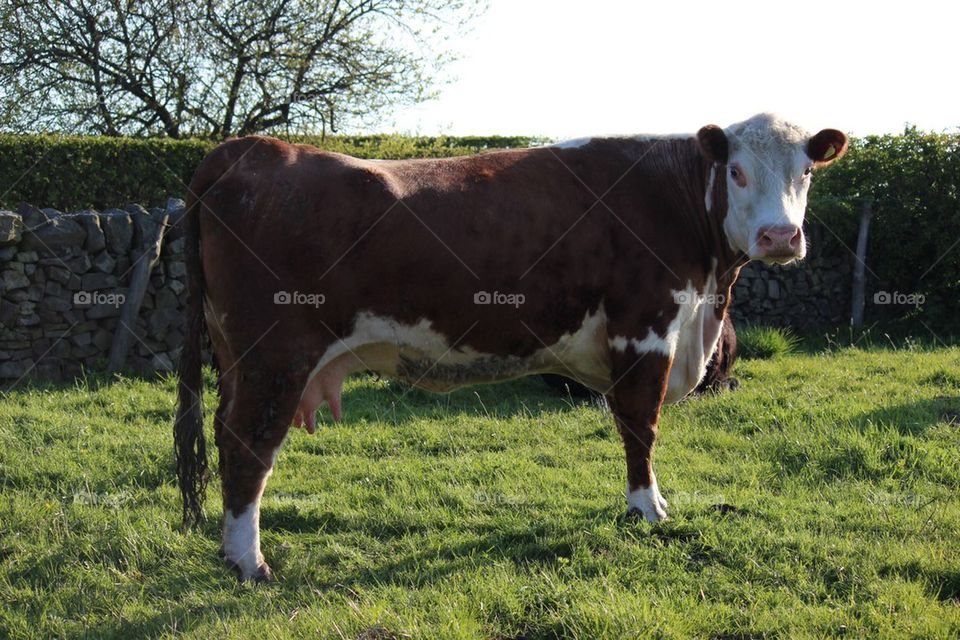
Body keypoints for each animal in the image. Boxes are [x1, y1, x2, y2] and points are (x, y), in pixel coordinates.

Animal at [174, 113, 847, 581]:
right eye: (736, 171)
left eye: (806, 172)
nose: (780, 236)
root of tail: (247, 149)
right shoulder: (645, 328)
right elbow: (640, 426)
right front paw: (647, 509)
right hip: (275, 353)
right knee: (248, 443)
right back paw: (250, 564)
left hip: (237, 357)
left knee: (227, 434)